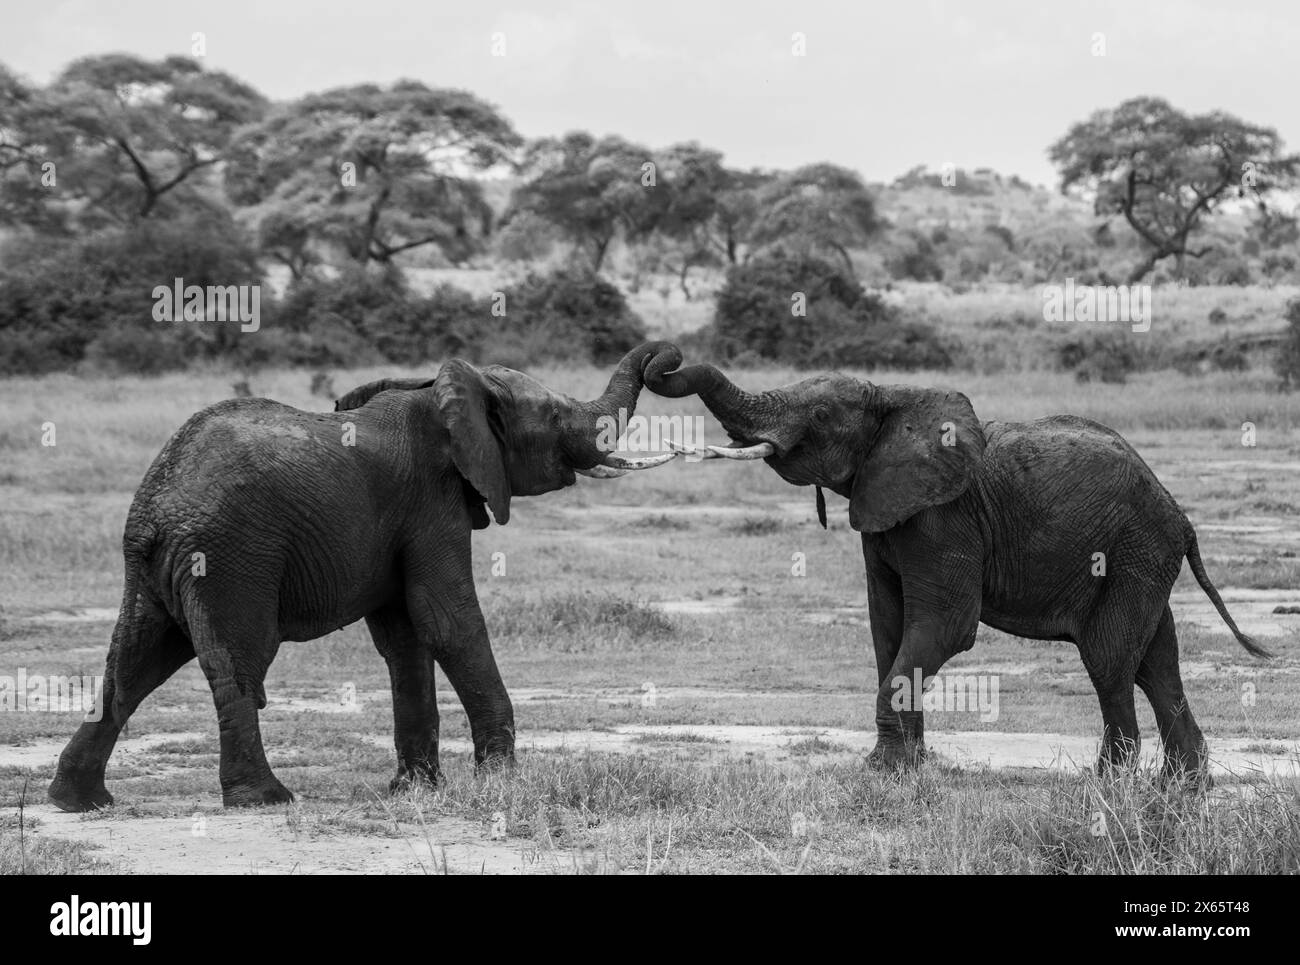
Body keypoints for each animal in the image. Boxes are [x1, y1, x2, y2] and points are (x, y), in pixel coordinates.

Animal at [44, 340, 681, 806]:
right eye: (554, 414)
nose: (667, 360)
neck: (441, 390)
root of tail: (159, 504)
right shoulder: (432, 502)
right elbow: (448, 620)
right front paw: (501, 781)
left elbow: (405, 637)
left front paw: (415, 791)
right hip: (230, 555)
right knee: (237, 663)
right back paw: (265, 799)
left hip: (154, 566)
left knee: (132, 665)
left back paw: (79, 800)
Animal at [650, 361, 1268, 780]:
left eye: (821, 415)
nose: (665, 359)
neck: (892, 396)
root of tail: (1181, 516)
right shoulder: (885, 511)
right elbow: (888, 630)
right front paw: (906, 765)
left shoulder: (944, 518)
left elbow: (943, 628)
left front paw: (886, 772)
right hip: (1144, 557)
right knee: (1157, 662)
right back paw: (1181, 789)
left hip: (1134, 550)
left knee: (1112, 660)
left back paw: (1108, 787)